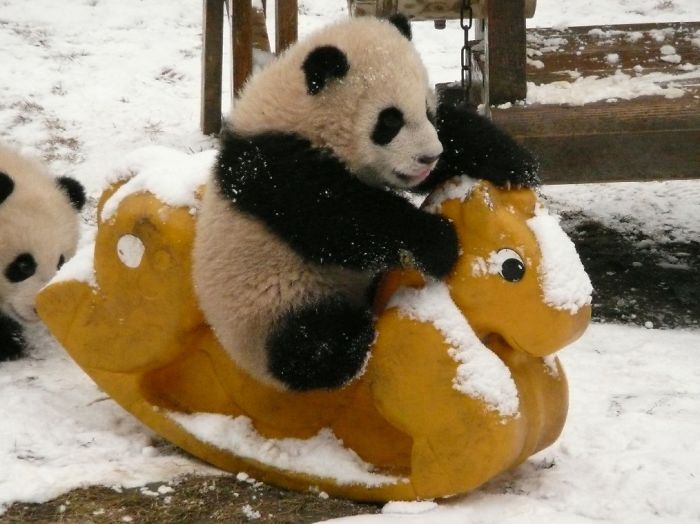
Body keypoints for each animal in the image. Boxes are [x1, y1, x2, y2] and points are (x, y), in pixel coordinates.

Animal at [194, 14, 540, 390]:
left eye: (428, 112)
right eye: (389, 121)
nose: (429, 157)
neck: (297, 112)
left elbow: (456, 133)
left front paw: (513, 164)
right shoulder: (274, 167)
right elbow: (342, 220)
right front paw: (439, 242)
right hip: (267, 300)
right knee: (308, 342)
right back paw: (351, 343)